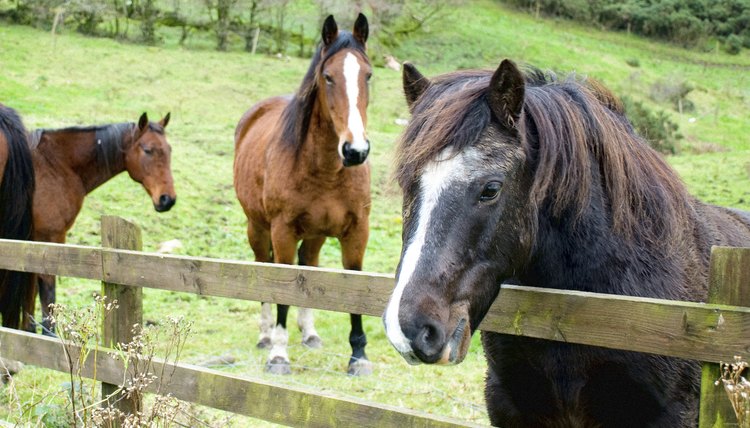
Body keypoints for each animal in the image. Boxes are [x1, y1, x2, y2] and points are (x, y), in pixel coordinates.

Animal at [29, 113, 176, 334]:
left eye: (169, 150)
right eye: (148, 150)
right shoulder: (48, 239)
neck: (55, 164)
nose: (168, 199)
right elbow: (47, 297)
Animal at [234, 14, 374, 374]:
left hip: (315, 236)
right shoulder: (282, 232)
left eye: (368, 75)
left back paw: (309, 333)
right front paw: (278, 353)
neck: (326, 169)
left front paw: (359, 355)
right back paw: (266, 335)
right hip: (258, 229)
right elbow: (283, 288)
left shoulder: (356, 232)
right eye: (328, 76)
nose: (355, 150)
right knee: (263, 268)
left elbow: (352, 286)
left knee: (309, 267)